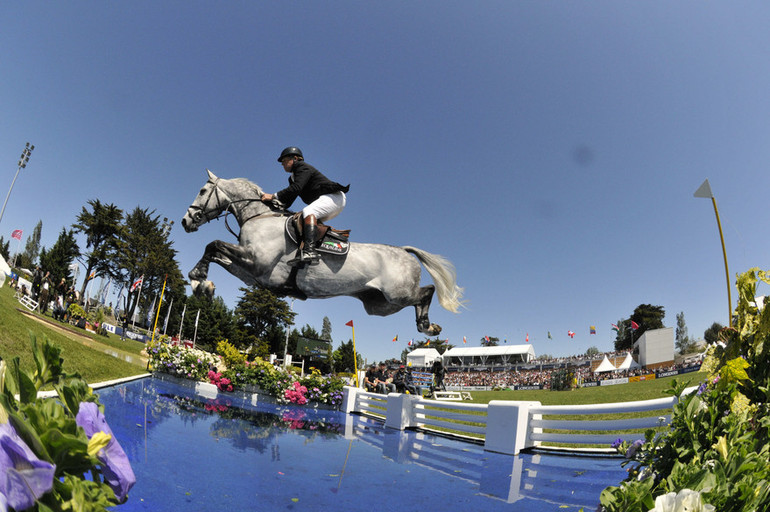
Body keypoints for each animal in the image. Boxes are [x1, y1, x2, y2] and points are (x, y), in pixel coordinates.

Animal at [182, 171, 462, 336]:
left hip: (398, 294)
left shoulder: (255, 262)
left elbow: (213, 245)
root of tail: (404, 251)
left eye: (203, 191)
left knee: (426, 291)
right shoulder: (251, 273)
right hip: (381, 305)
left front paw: (198, 280)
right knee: (419, 297)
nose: (186, 221)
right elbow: (215, 252)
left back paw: (428, 326)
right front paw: (203, 285)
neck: (259, 216)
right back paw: (427, 326)